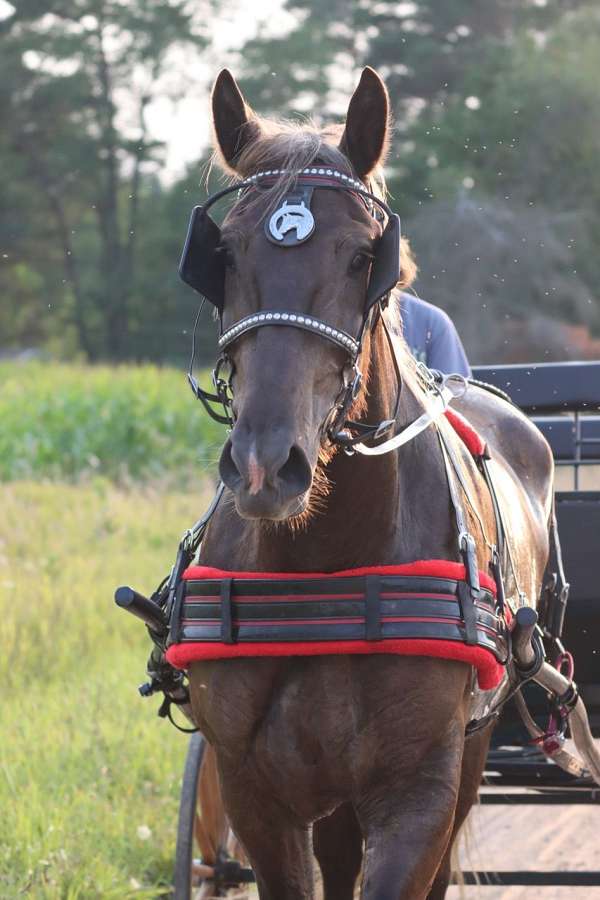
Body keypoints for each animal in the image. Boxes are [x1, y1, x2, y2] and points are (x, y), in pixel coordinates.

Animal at [190, 68, 556, 900]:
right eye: (222, 253)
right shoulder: (255, 791)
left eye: (364, 256)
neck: (324, 562)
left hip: (474, 749)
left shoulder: (418, 790)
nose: (266, 462)